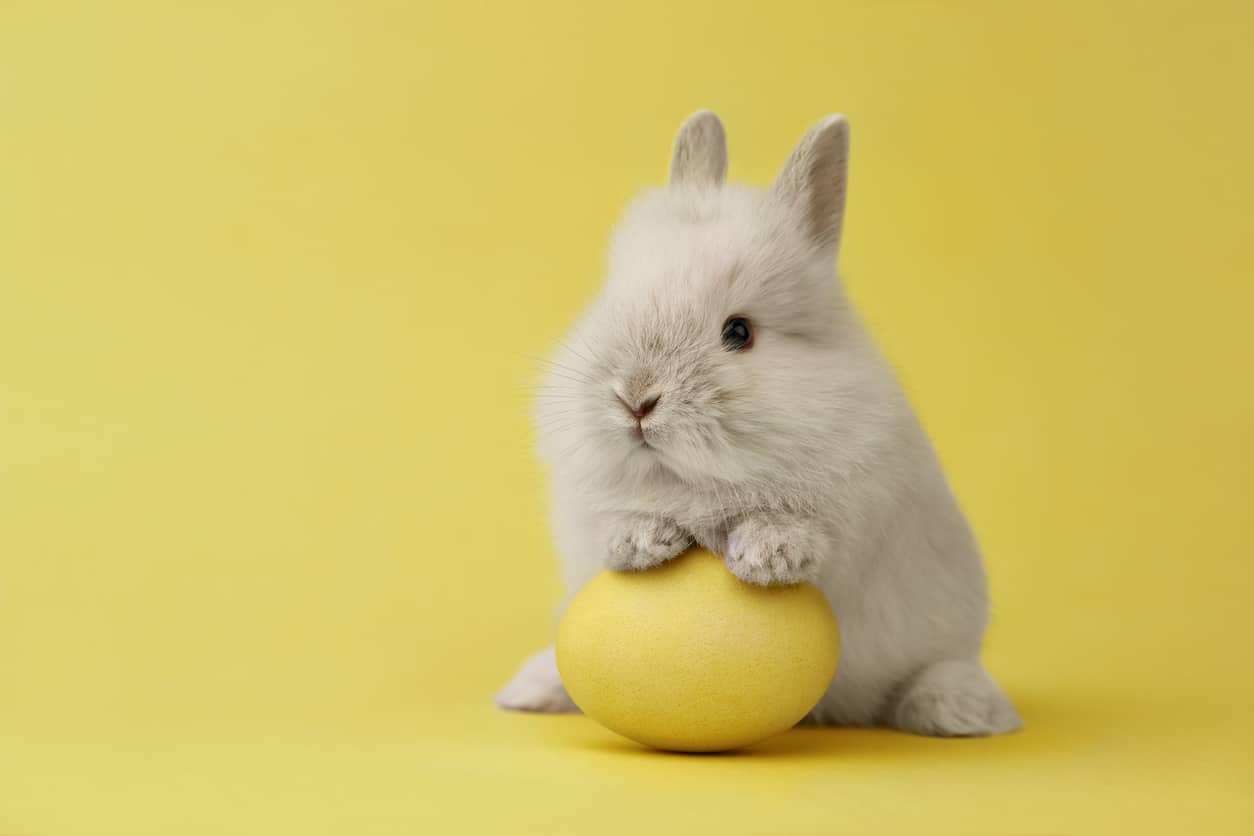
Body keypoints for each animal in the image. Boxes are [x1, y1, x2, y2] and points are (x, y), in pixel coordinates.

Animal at [495, 111, 1021, 737]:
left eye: (739, 332)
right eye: (613, 302)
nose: (635, 399)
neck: (693, 482)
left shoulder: (855, 513)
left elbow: (803, 529)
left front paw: (764, 558)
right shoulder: (590, 512)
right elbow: (618, 522)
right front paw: (643, 541)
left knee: (936, 668)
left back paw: (962, 711)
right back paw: (528, 691)